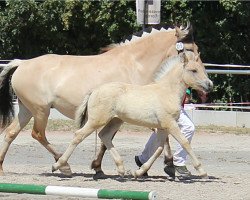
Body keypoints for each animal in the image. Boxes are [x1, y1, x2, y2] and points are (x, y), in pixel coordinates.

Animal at [51, 50, 213, 178]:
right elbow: (184, 143)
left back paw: (122, 169)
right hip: (97, 120)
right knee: (79, 135)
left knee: (104, 136)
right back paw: (59, 165)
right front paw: (202, 171)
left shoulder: (162, 127)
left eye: (202, 69)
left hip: (115, 120)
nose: (209, 85)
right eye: (193, 70)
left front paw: (139, 172)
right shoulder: (170, 124)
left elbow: (159, 148)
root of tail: (94, 91)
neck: (167, 92)